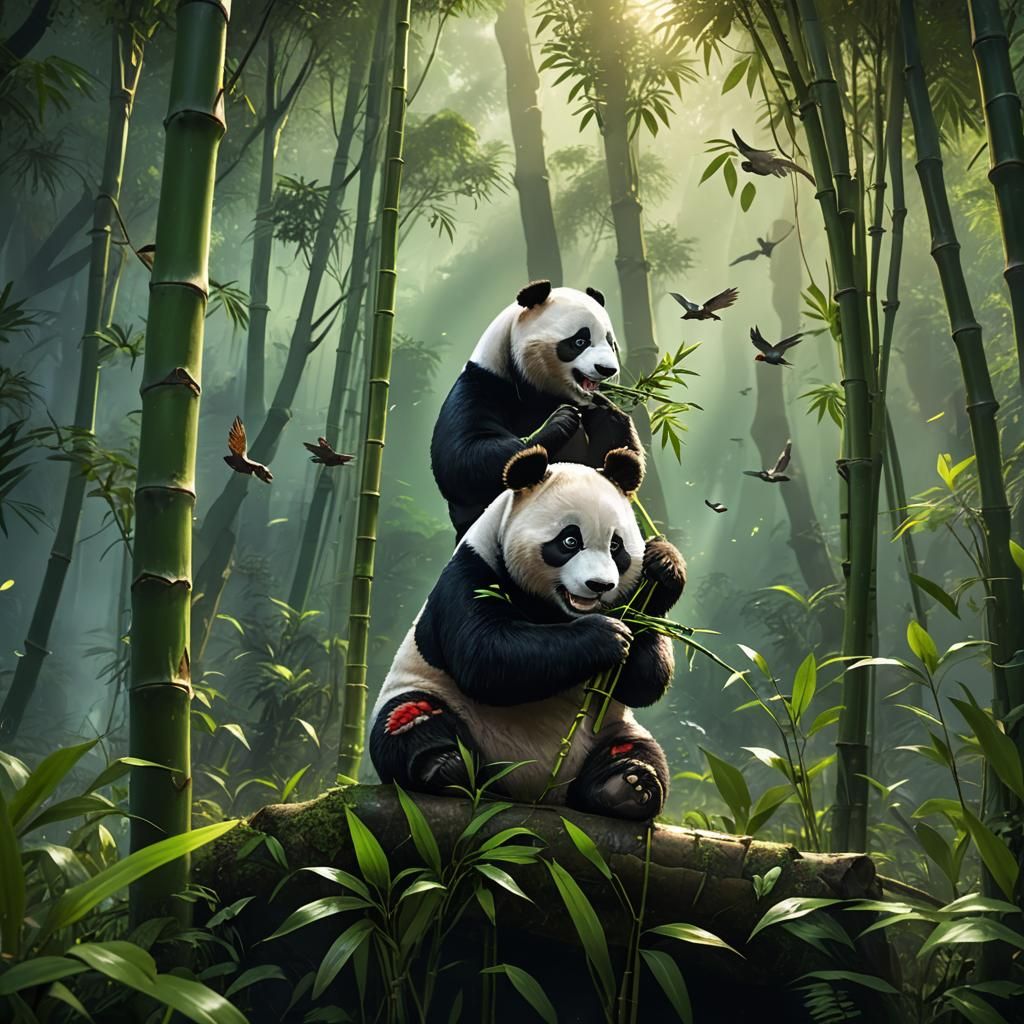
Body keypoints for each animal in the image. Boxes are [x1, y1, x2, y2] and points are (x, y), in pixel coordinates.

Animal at [369, 444, 686, 820]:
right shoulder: (472, 570)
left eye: (616, 547)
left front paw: (663, 566)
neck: (555, 610)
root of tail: (535, 793)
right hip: (429, 693)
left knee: (637, 749)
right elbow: (487, 657)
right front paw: (606, 636)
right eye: (569, 541)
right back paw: (443, 767)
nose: (599, 585)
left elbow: (644, 679)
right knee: (407, 720)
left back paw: (627, 786)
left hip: (610, 728)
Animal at [431, 279, 644, 539]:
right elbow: (463, 459)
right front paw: (559, 421)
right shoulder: (482, 384)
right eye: (579, 342)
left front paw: (606, 413)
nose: (607, 369)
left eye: (610, 343)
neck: (538, 390)